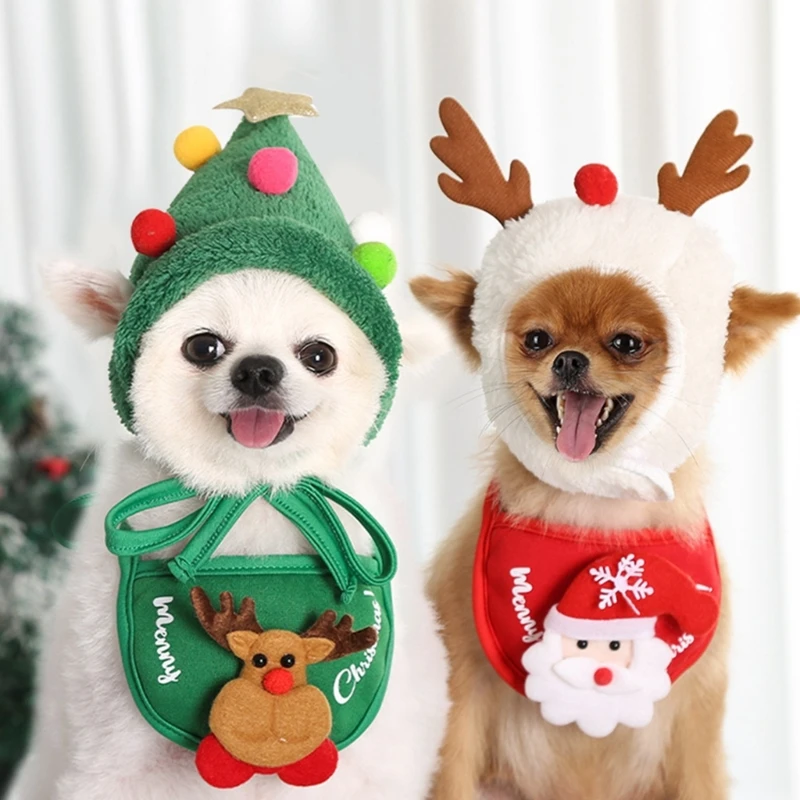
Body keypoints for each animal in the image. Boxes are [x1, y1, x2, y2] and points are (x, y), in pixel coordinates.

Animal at [9, 264, 450, 800]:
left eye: (318, 356)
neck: (251, 493)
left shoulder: (373, 761)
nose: (258, 370)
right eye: (204, 347)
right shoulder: (116, 755)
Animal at [412, 101, 800, 800]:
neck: (595, 512)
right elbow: (448, 770)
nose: (569, 358)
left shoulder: (698, 706)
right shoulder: (462, 684)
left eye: (626, 343)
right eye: (537, 339)